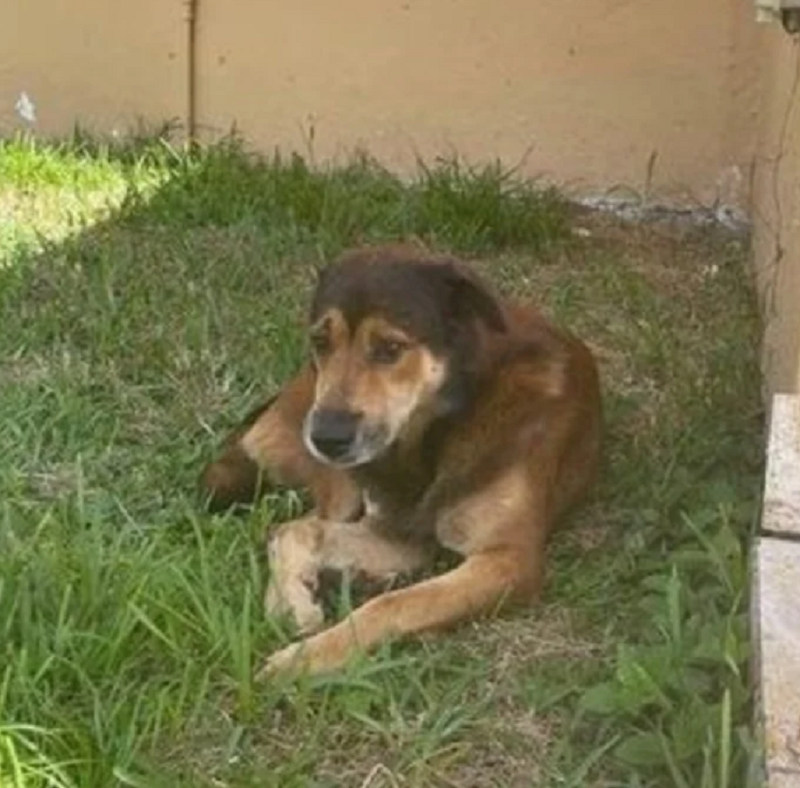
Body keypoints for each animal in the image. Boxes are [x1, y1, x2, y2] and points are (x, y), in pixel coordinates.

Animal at [198, 245, 600, 676]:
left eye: (390, 348)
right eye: (320, 341)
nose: (325, 438)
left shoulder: (508, 560)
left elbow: (397, 603)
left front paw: (305, 661)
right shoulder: (397, 532)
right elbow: (300, 532)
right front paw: (297, 612)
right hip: (340, 482)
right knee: (293, 524)